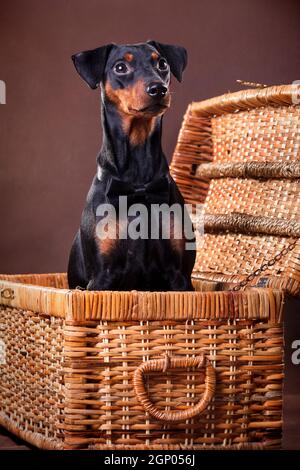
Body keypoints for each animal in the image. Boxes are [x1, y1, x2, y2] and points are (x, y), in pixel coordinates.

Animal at [67, 41, 196, 290]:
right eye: (120, 67)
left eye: (162, 63)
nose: (158, 89)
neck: (138, 184)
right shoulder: (101, 277)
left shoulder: (180, 276)